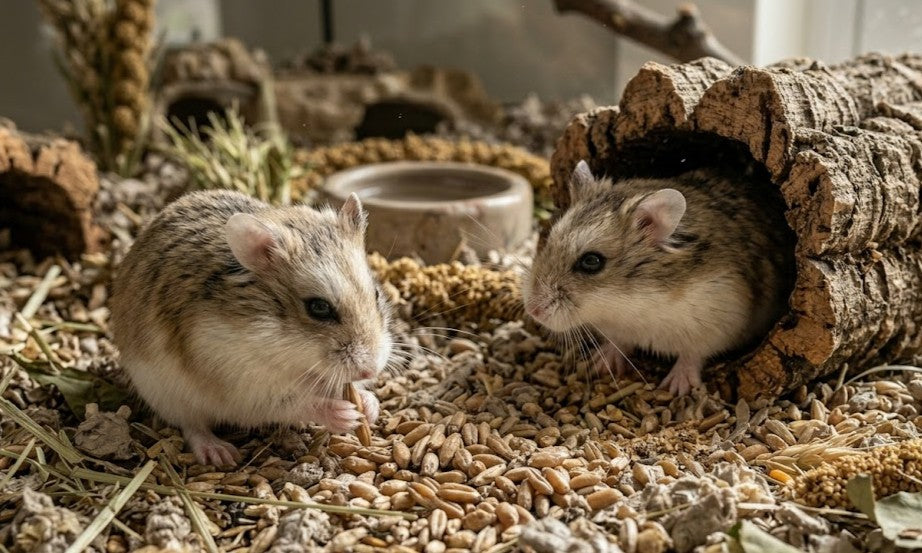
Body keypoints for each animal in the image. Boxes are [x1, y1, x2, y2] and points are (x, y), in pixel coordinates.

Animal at [110, 190, 393, 466]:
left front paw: (368, 406)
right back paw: (222, 455)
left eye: (376, 294)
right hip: (167, 395)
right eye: (319, 307)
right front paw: (347, 415)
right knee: (192, 426)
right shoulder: (244, 385)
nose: (371, 370)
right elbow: (295, 402)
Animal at [524, 161, 794, 395]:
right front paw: (598, 364)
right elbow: (618, 343)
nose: (533, 311)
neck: (631, 303)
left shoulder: (720, 319)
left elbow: (692, 354)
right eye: (548, 240)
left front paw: (676, 388)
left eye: (592, 261)